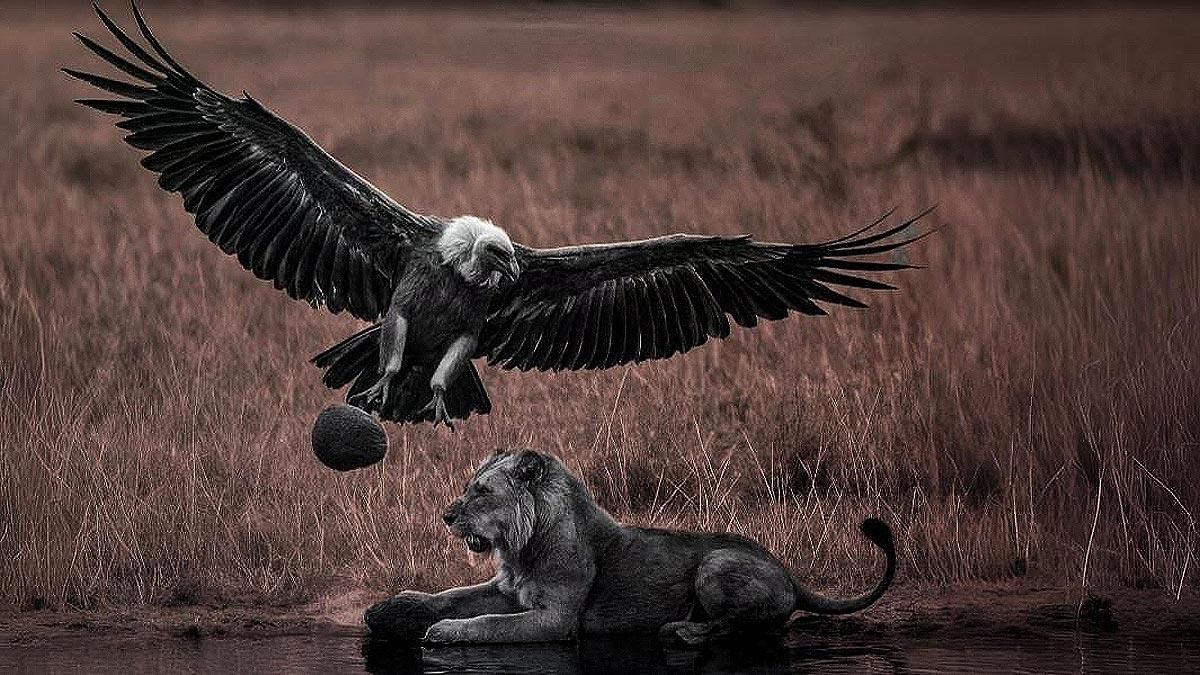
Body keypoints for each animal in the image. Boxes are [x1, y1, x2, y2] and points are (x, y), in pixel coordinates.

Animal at [365, 449, 896, 645]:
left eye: (482, 491)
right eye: (468, 486)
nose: (447, 516)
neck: (520, 548)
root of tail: (790, 573)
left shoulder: (556, 618)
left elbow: (489, 623)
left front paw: (445, 632)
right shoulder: (506, 589)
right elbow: (447, 595)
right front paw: (391, 608)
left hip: (716, 560)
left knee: (739, 627)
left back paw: (683, 632)